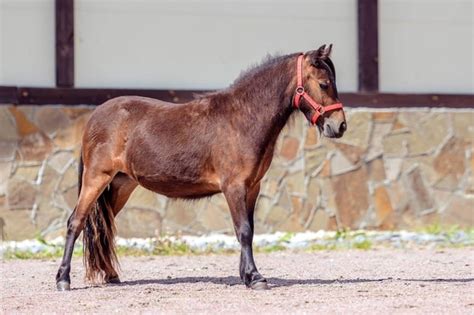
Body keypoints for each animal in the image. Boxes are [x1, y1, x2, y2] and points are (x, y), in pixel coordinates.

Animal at [55, 44, 346, 292]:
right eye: (324, 83)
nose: (340, 125)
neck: (242, 118)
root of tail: (94, 116)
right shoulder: (234, 187)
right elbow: (243, 230)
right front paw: (255, 278)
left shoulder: (252, 187)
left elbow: (249, 231)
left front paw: (246, 275)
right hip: (96, 179)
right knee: (76, 222)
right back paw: (63, 280)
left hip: (121, 185)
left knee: (103, 227)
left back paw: (110, 275)